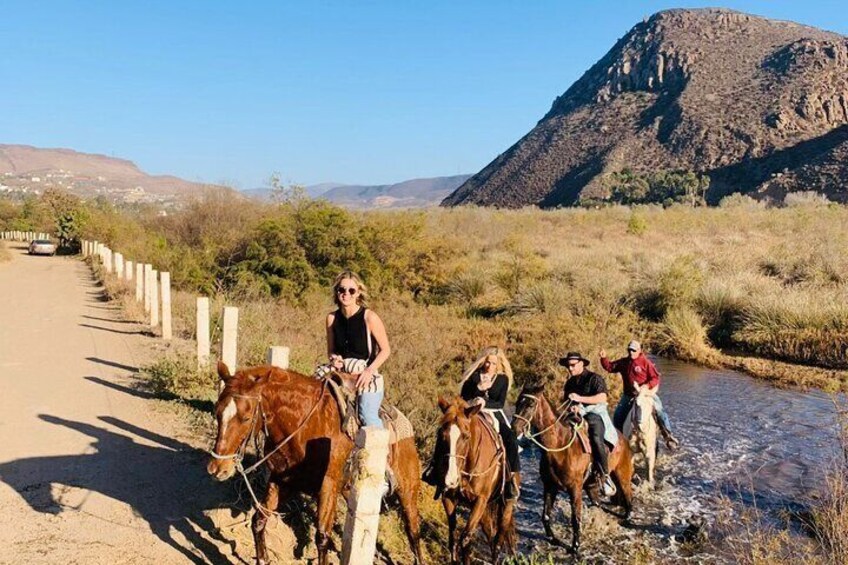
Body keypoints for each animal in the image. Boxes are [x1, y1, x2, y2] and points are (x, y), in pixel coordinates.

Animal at [206, 362, 424, 564]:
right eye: (217, 411)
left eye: (246, 418)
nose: (217, 469)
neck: (304, 430)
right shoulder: (281, 480)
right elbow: (259, 519)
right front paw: (263, 558)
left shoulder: (328, 487)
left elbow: (322, 537)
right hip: (348, 489)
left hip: (407, 492)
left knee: (413, 529)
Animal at [438, 394, 516, 564]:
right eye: (441, 434)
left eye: (466, 436)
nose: (450, 480)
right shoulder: (448, 497)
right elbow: (454, 537)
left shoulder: (480, 500)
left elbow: (465, 538)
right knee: (490, 533)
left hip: (505, 507)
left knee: (499, 537)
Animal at [510, 384, 628, 556]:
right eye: (518, 402)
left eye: (531, 404)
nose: (514, 428)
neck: (559, 448)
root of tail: (624, 439)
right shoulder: (549, 486)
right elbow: (545, 516)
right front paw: (553, 539)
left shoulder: (575, 489)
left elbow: (575, 519)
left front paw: (575, 547)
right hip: (591, 487)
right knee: (599, 504)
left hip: (622, 476)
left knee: (628, 498)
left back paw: (628, 516)